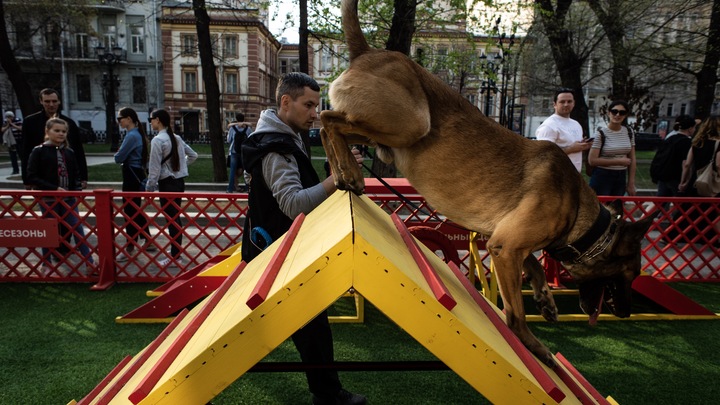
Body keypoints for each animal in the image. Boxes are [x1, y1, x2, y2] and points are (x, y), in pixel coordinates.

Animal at [322, 0, 660, 366]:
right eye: (631, 274)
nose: (626, 313)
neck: (579, 212)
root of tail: (367, 52)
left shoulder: (504, 240)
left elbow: (535, 266)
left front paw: (545, 299)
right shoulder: (506, 246)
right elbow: (516, 313)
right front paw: (534, 345)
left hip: (386, 132)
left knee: (331, 128)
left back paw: (343, 173)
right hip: (411, 122)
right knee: (327, 119)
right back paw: (350, 171)